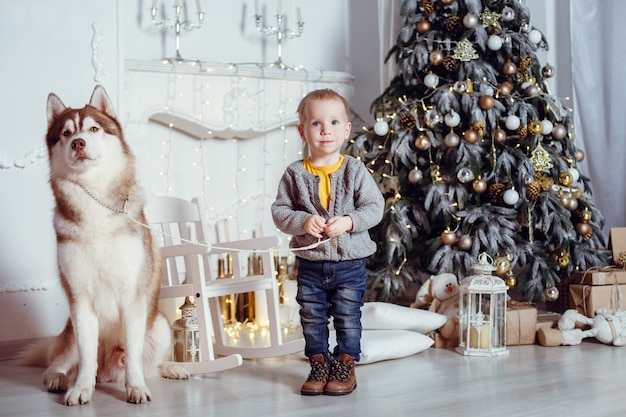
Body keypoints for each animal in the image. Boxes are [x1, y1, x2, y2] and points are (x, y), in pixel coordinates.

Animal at [22, 86, 188, 404]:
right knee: (56, 363)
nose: (78, 143)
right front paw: (80, 389)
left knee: (149, 364)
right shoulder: (80, 301)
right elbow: (87, 358)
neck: (95, 203)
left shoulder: (133, 298)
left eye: (94, 129)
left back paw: (171, 368)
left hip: (159, 325)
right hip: (70, 334)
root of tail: (110, 372)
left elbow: (134, 357)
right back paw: (60, 379)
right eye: (65, 133)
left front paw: (136, 388)